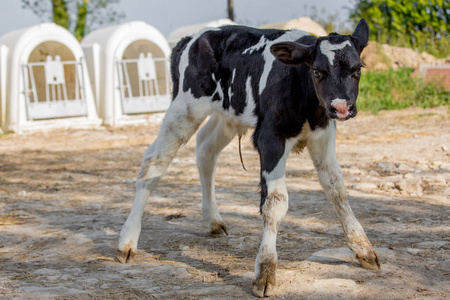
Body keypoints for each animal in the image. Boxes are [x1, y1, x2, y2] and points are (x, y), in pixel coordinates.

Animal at [117, 19, 380, 298]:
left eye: (357, 69)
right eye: (318, 71)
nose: (341, 108)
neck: (305, 97)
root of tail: (191, 37)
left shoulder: (323, 134)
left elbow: (336, 188)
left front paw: (363, 247)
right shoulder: (269, 138)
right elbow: (275, 202)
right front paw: (265, 271)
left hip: (228, 115)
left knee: (205, 149)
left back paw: (213, 220)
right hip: (184, 108)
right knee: (153, 162)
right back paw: (127, 241)